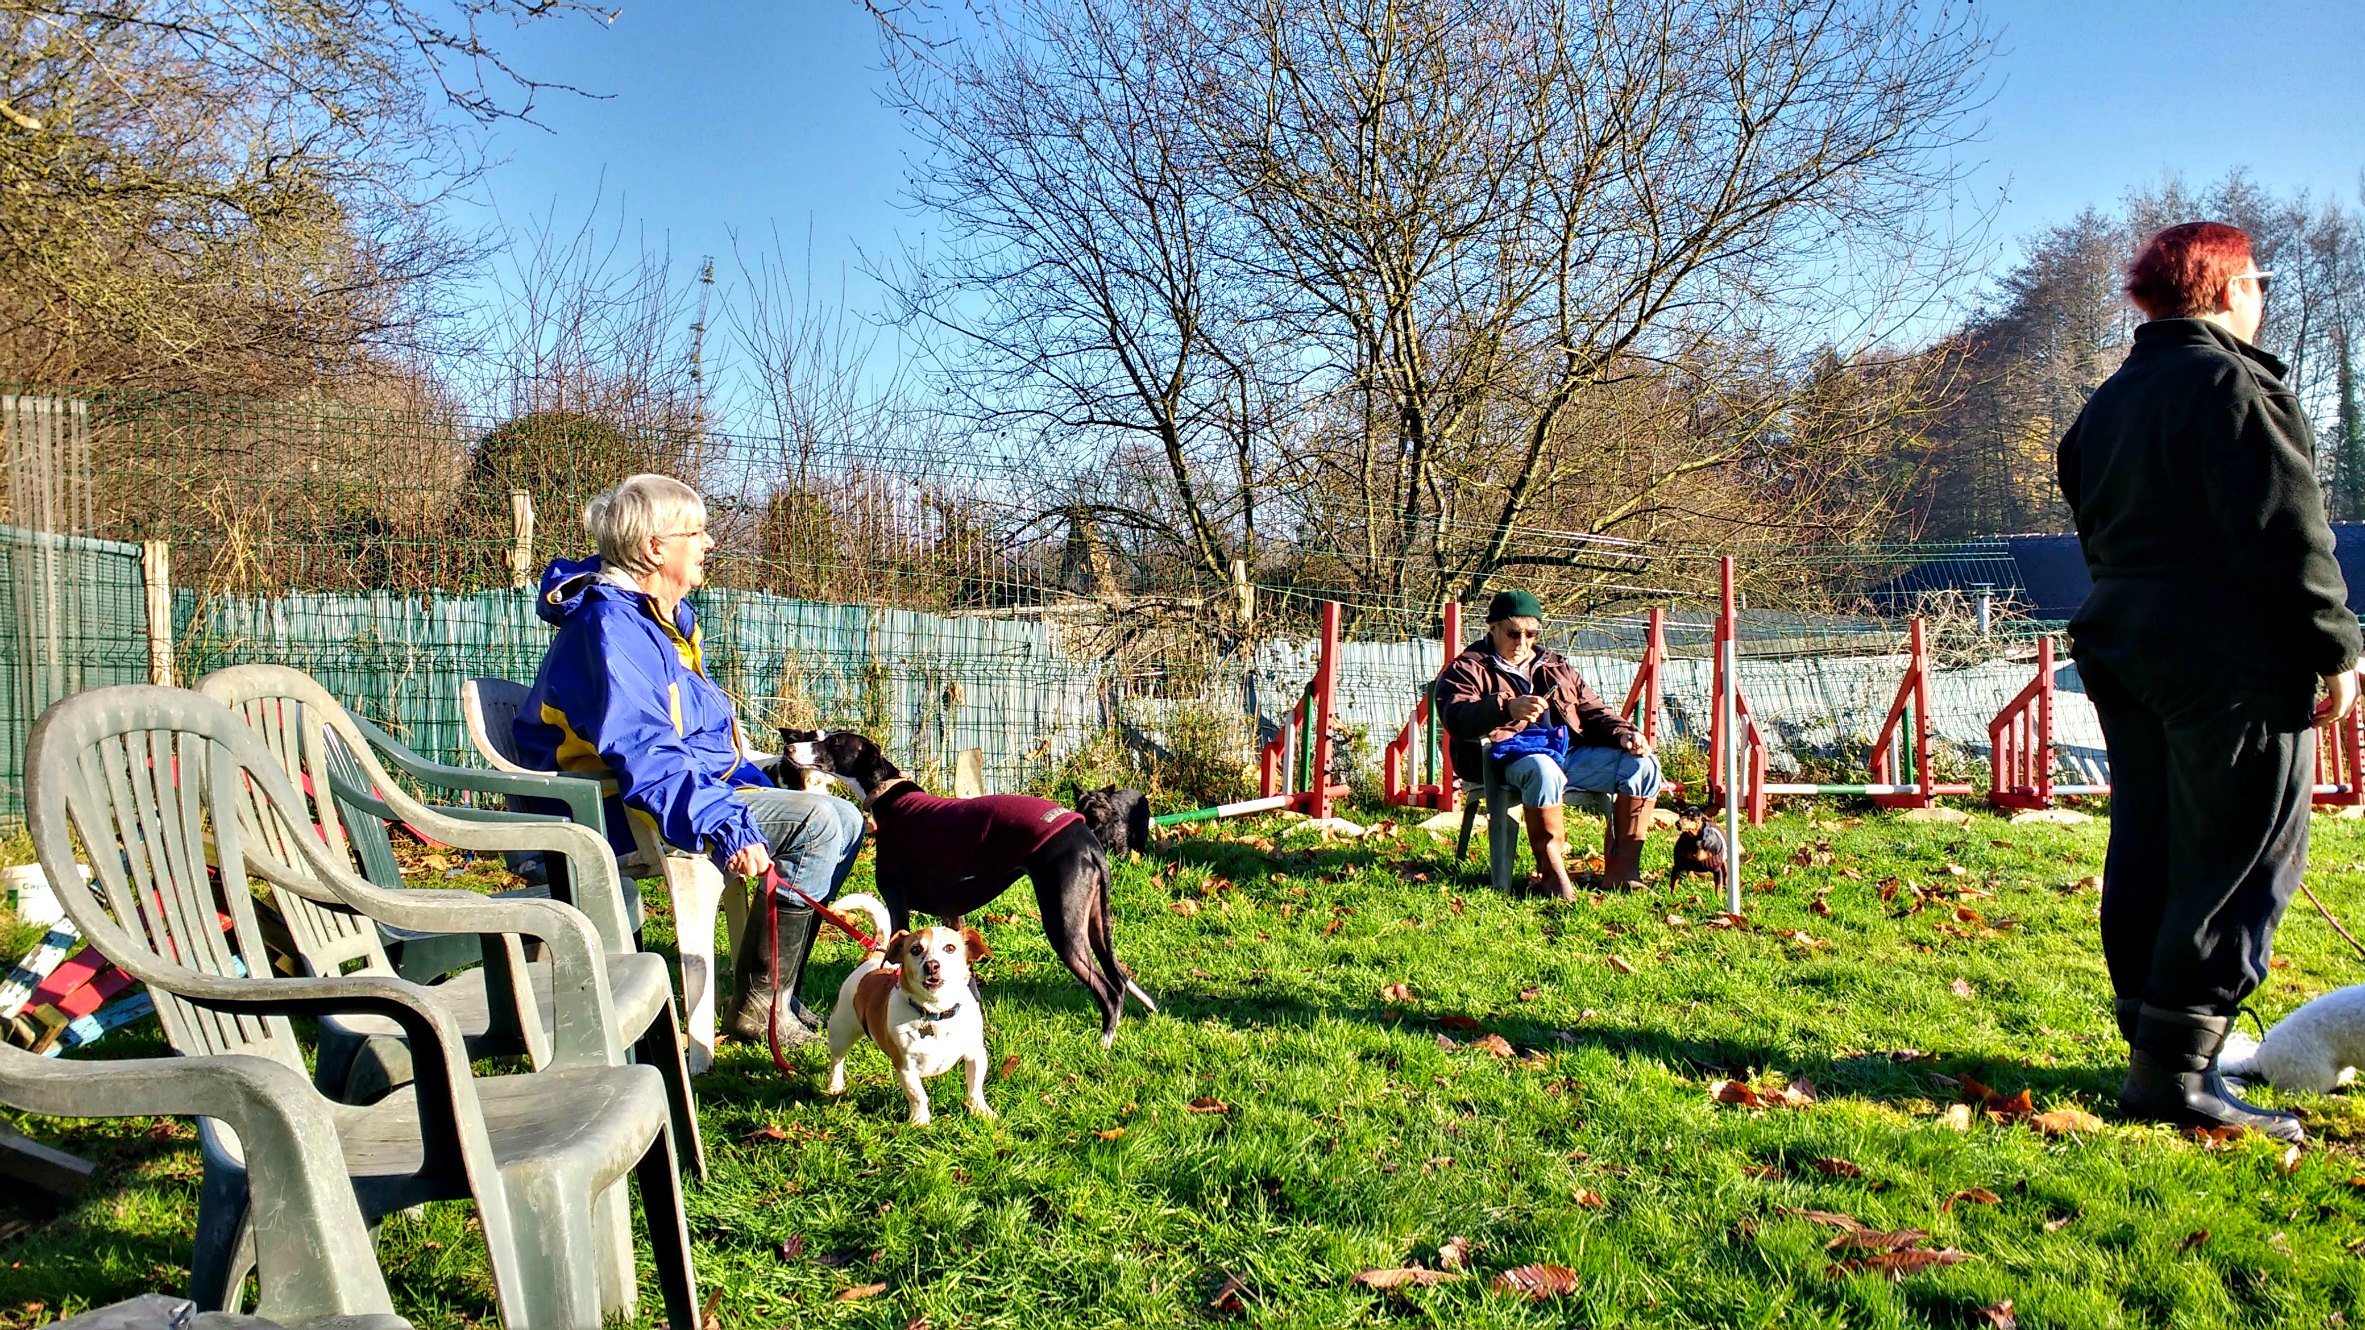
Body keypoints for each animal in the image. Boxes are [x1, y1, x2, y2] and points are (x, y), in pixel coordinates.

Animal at [775, 729, 1157, 1046]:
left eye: (834, 742)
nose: (789, 748)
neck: (892, 800)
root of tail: (1087, 838)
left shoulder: (898, 907)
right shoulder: (952, 916)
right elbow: (967, 984)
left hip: (1063, 925)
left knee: (1108, 990)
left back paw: (1104, 1044)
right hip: (1094, 923)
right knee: (1118, 980)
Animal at [822, 893, 996, 1124]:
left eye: (950, 948)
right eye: (915, 950)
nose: (931, 965)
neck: (936, 1013)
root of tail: (873, 958)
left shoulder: (976, 1053)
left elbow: (976, 1086)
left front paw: (981, 1111)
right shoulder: (906, 1066)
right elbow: (917, 1094)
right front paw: (920, 1121)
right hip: (841, 1032)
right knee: (837, 1060)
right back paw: (835, 1086)